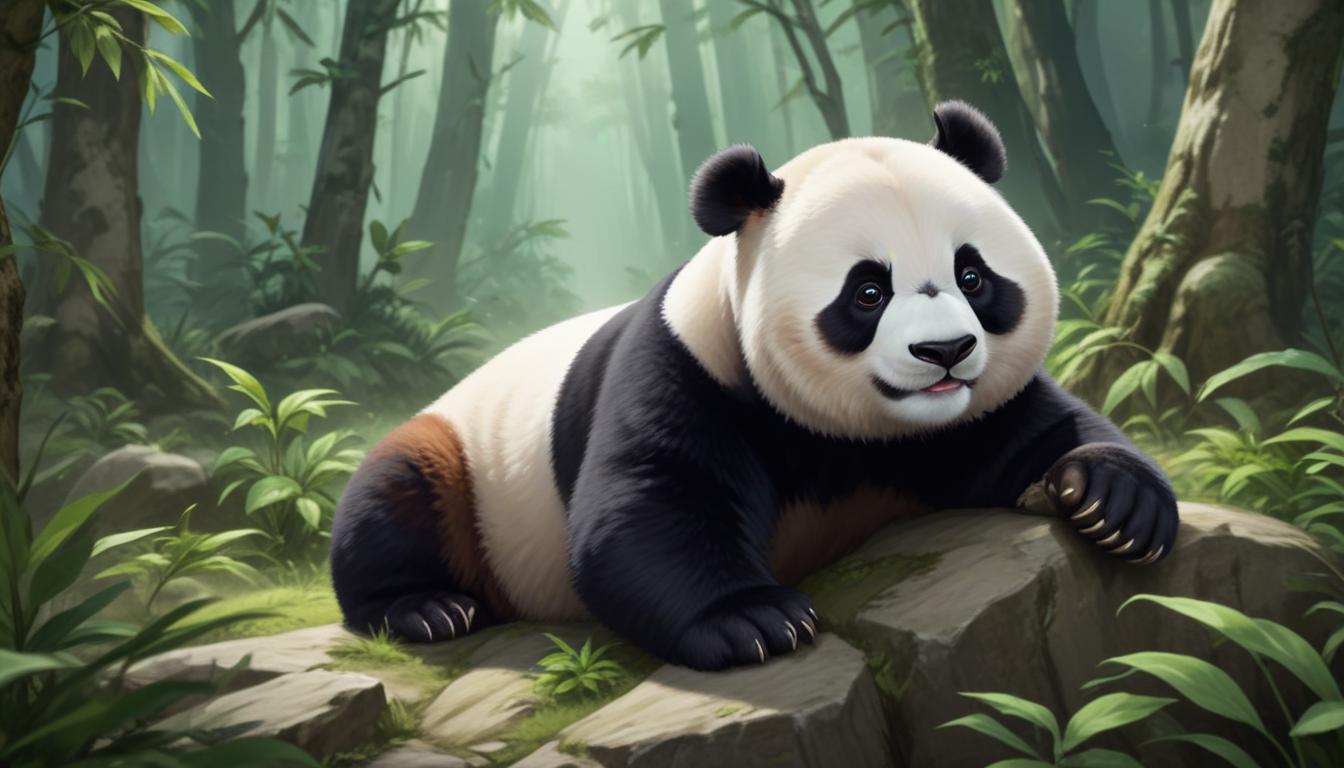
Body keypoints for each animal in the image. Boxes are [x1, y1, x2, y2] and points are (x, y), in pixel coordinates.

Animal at [330, 100, 1179, 671]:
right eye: (867, 291)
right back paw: (428, 608)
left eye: (973, 276)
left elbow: (1039, 429)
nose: (945, 351)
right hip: (463, 459)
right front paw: (756, 622)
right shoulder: (690, 368)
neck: (854, 432)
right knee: (398, 497)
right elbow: (652, 503)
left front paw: (1113, 505)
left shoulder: (963, 415)